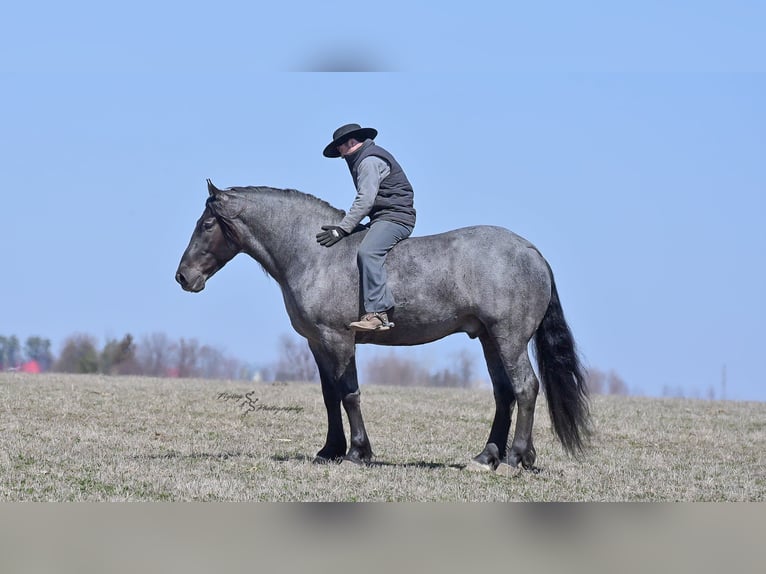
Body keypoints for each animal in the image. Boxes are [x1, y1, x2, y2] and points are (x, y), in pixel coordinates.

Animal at [175, 180, 590, 471]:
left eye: (207, 223)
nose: (183, 277)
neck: (316, 255)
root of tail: (531, 251)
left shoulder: (339, 339)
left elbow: (349, 394)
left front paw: (357, 453)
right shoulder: (317, 344)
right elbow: (329, 396)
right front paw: (330, 450)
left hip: (509, 338)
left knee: (525, 388)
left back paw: (514, 458)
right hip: (489, 338)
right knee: (503, 393)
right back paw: (487, 457)